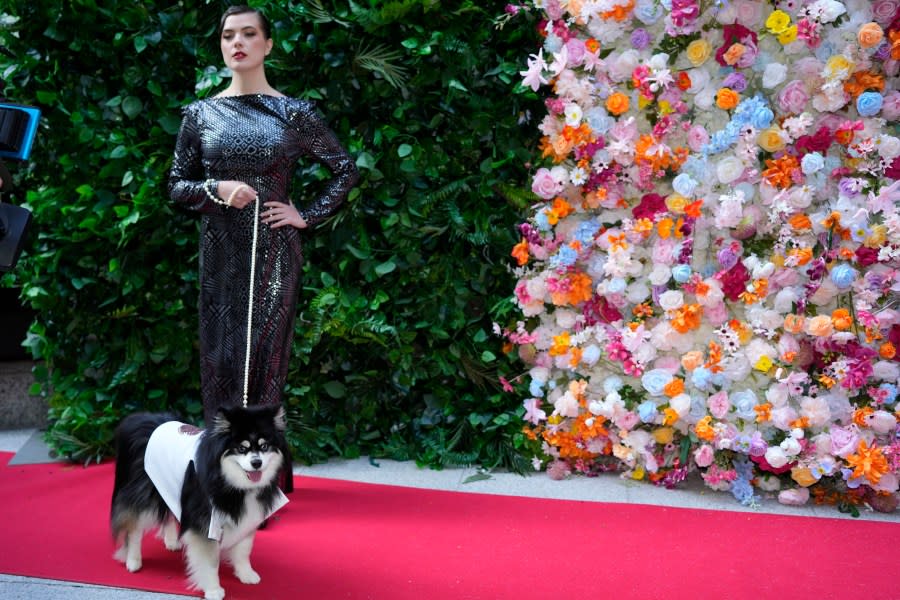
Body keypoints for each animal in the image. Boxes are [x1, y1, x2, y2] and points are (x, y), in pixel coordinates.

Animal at [110, 406, 290, 596]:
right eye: (241, 448)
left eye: (264, 446)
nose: (257, 463)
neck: (226, 479)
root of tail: (142, 419)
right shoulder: (204, 522)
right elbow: (210, 561)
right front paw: (213, 589)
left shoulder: (248, 517)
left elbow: (243, 549)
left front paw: (246, 574)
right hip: (143, 494)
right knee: (134, 529)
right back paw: (133, 561)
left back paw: (171, 541)